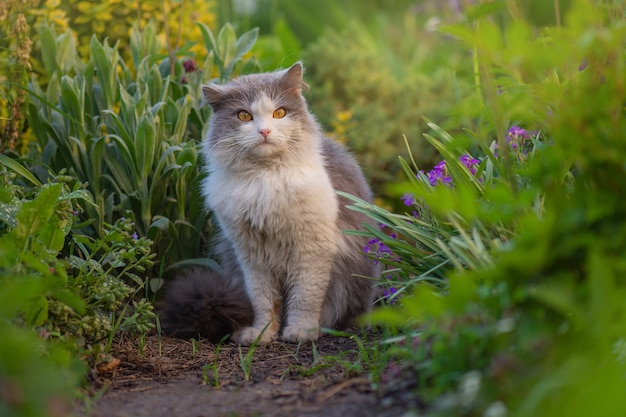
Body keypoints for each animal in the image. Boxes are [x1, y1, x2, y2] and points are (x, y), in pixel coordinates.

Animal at [158, 61, 378, 342]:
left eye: (279, 112)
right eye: (243, 116)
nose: (264, 131)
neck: (265, 178)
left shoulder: (311, 249)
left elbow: (304, 298)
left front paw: (301, 331)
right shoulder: (251, 255)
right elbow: (263, 300)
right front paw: (261, 334)